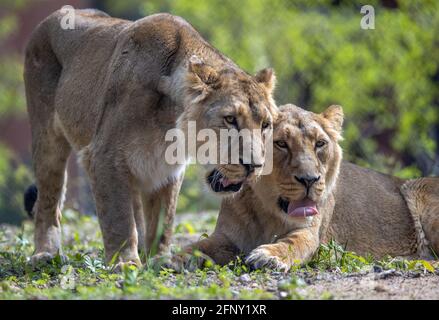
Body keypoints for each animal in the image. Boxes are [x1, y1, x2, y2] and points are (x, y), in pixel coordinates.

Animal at [176, 104, 439, 270]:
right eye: (281, 143)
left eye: (320, 144)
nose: (310, 179)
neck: (265, 211)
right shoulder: (226, 236)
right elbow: (200, 245)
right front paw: (178, 257)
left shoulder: (309, 233)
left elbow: (293, 245)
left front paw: (268, 256)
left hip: (417, 187)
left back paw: (399, 261)